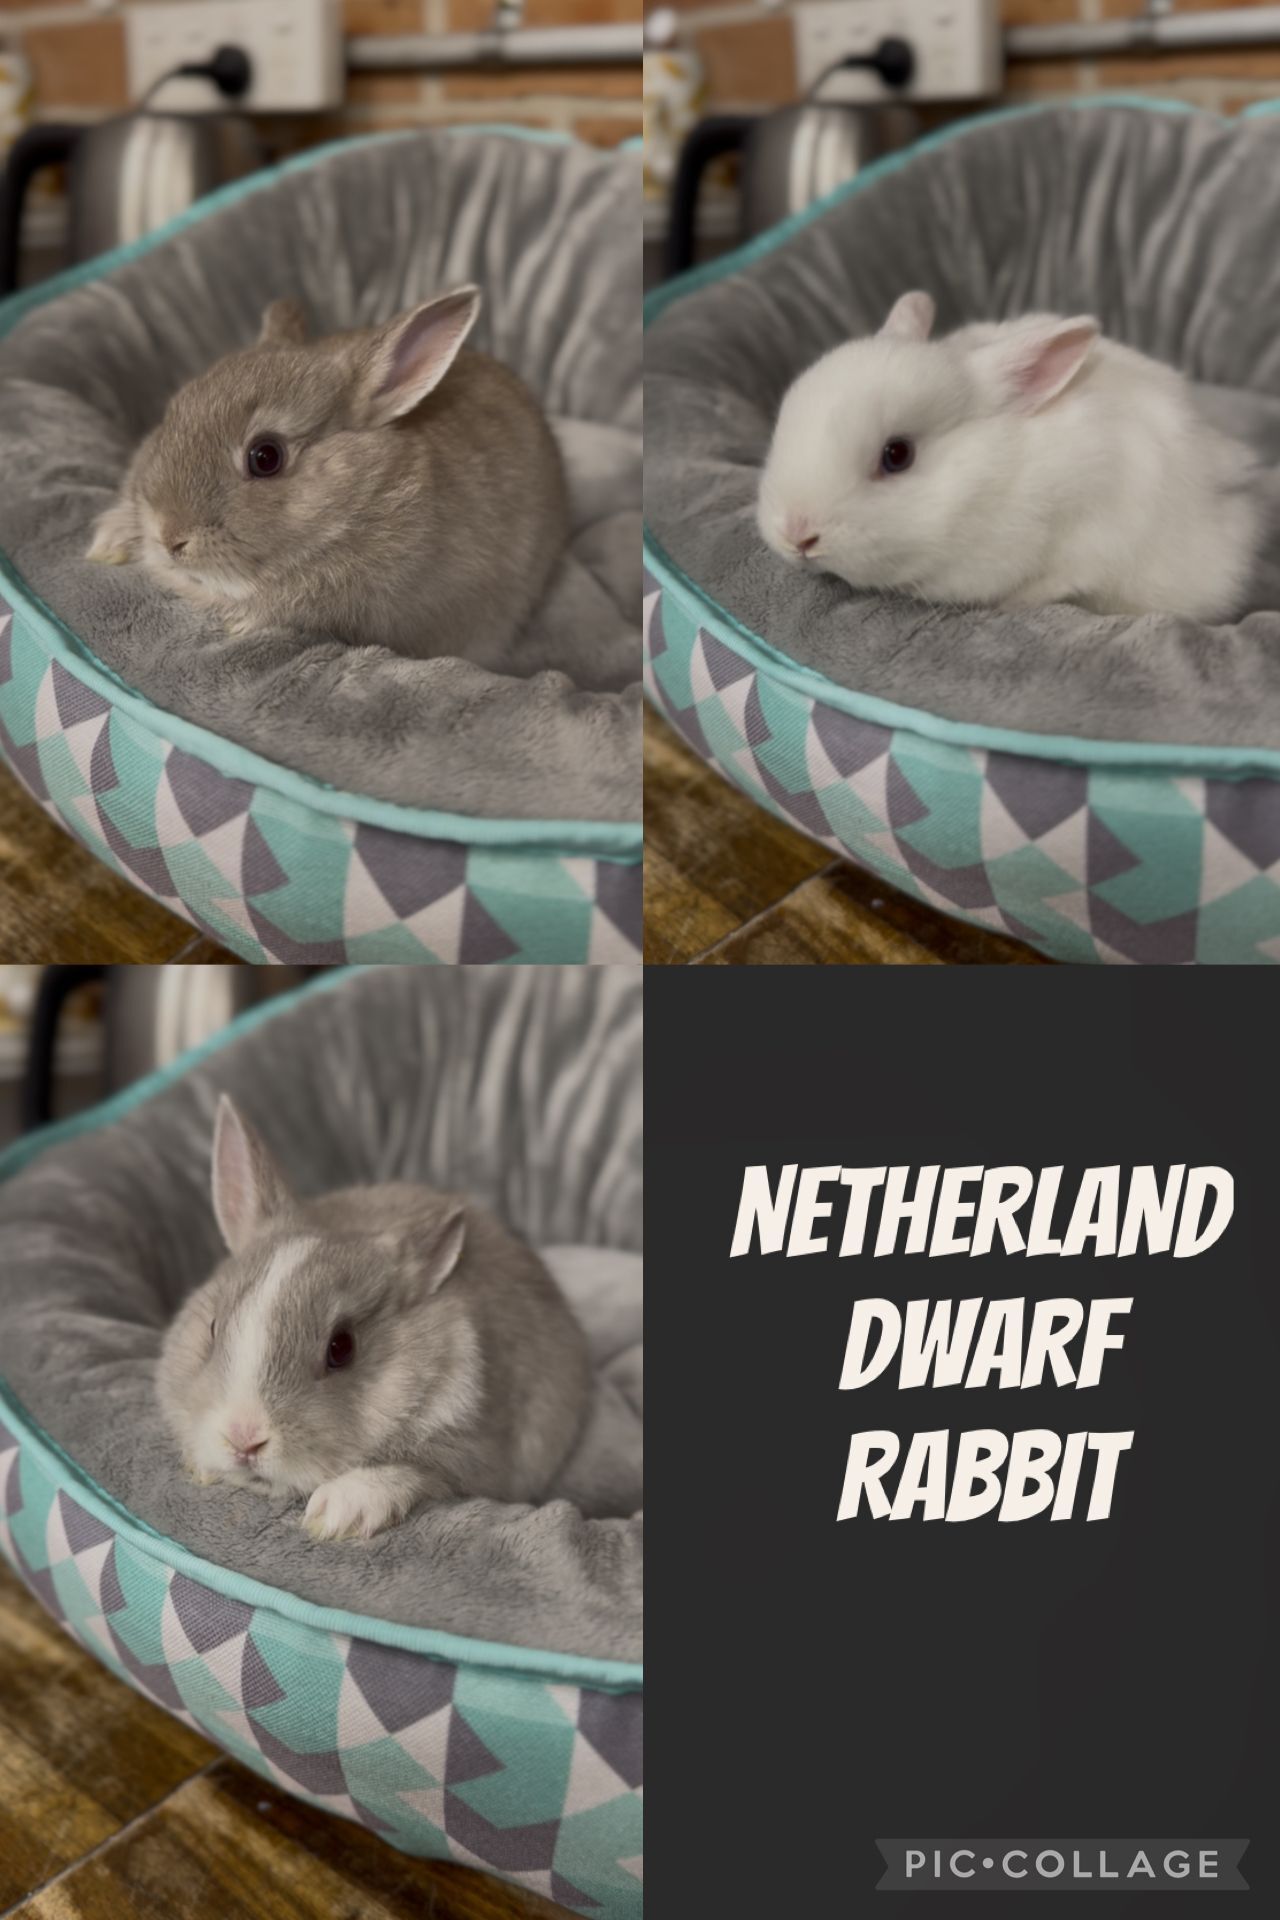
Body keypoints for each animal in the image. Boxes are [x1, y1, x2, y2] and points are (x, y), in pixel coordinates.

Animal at [156, 1094, 591, 1541]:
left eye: (341, 1348)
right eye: (213, 1328)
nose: (243, 1439)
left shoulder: (472, 1455)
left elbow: (412, 1470)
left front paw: (335, 1515)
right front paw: (201, 1466)